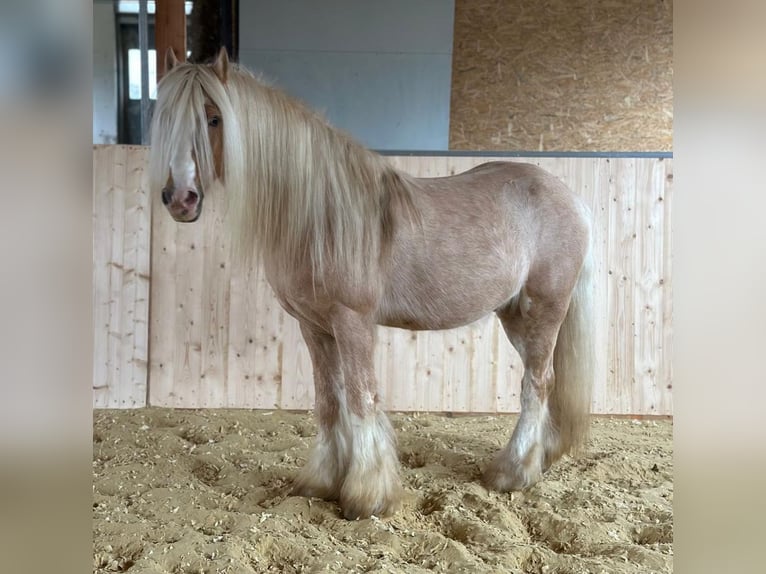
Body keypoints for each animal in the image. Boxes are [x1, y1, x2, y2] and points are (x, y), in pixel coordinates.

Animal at [148, 47, 592, 520]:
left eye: (214, 118)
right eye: (165, 117)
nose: (180, 199)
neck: (320, 216)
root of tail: (572, 199)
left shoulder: (352, 321)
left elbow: (362, 399)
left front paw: (367, 495)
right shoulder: (314, 326)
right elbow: (329, 401)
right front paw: (322, 480)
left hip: (543, 310)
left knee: (536, 384)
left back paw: (513, 472)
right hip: (514, 316)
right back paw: (540, 457)